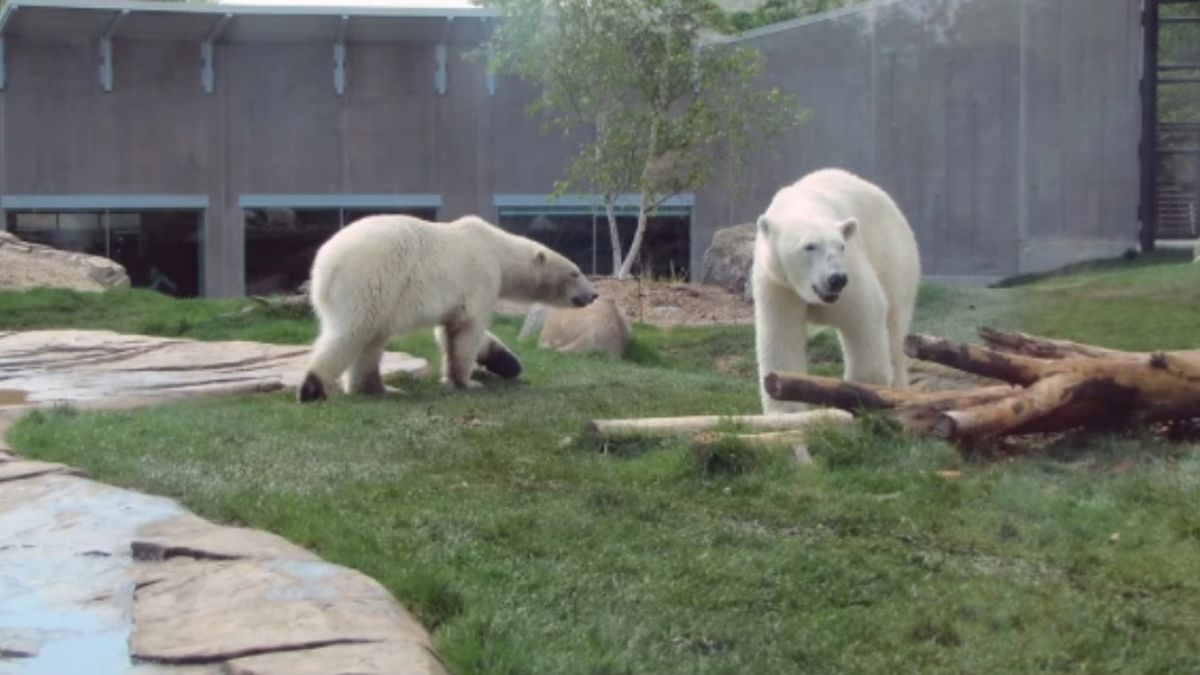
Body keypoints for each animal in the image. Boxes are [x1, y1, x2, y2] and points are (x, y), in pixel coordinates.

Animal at [297, 212, 597, 398]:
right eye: (575, 273)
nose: (593, 295)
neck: (497, 249)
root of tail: (323, 264)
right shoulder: (480, 276)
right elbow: (468, 329)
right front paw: (467, 382)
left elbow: (450, 329)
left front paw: (506, 362)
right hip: (371, 278)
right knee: (353, 331)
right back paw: (313, 388)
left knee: (372, 338)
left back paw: (378, 388)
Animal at [753, 166, 921, 410]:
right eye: (809, 246)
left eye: (840, 246)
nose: (836, 279)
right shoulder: (779, 285)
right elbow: (781, 338)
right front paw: (787, 408)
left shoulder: (852, 272)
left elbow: (864, 318)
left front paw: (862, 395)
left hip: (893, 257)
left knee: (895, 331)